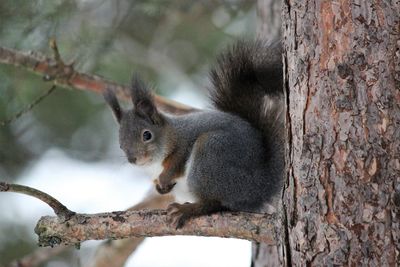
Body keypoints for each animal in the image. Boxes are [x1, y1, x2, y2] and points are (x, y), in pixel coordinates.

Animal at [103, 39, 284, 228]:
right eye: (120, 144)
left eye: (147, 135)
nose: (133, 159)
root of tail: (260, 185)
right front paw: (160, 187)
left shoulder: (185, 141)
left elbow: (177, 161)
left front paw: (165, 178)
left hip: (210, 156)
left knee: (214, 203)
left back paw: (187, 210)